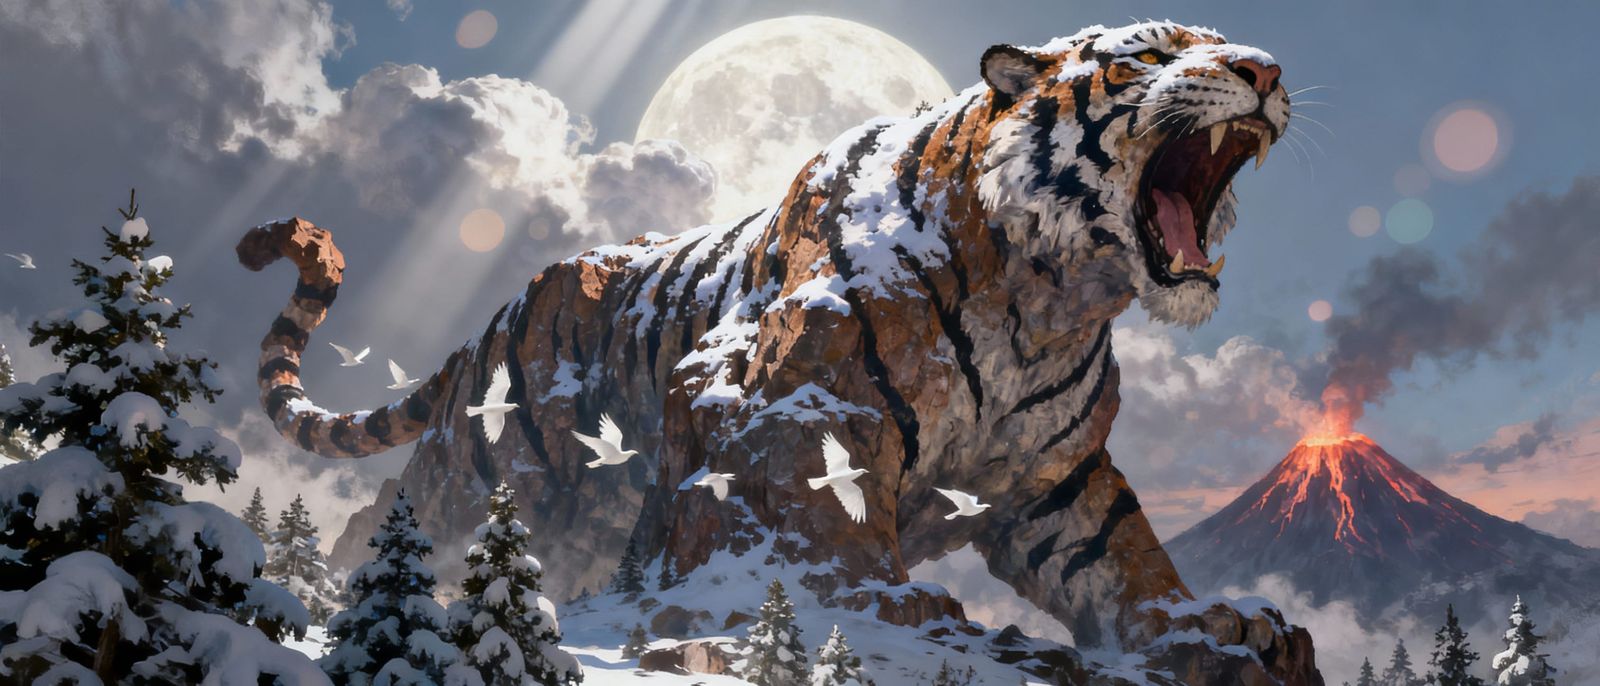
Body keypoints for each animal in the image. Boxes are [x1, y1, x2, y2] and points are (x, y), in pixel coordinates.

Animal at [239, 20, 1317, 682]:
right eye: (1150, 53)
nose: (1266, 70)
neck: (1050, 297)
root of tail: (490, 319)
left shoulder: (1055, 478)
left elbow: (1121, 557)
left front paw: (1219, 627)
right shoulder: (787, 402)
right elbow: (816, 528)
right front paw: (894, 615)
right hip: (477, 472)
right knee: (379, 525)